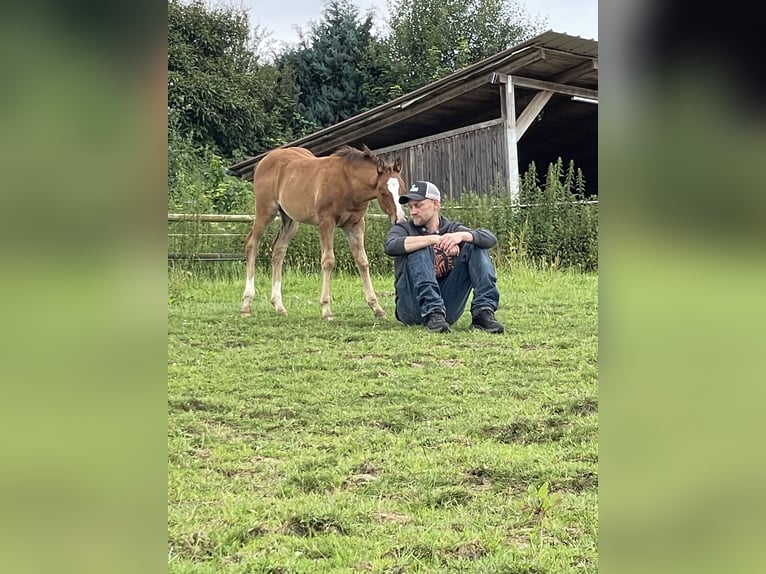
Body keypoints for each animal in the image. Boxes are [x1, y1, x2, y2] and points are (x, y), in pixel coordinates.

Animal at [240, 146, 408, 322]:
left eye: (403, 190)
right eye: (383, 191)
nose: (400, 219)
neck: (348, 183)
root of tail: (265, 160)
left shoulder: (355, 224)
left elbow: (362, 261)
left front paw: (377, 308)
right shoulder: (326, 221)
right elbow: (328, 261)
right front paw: (326, 309)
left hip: (290, 219)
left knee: (279, 250)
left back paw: (279, 306)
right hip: (265, 211)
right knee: (252, 243)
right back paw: (246, 305)